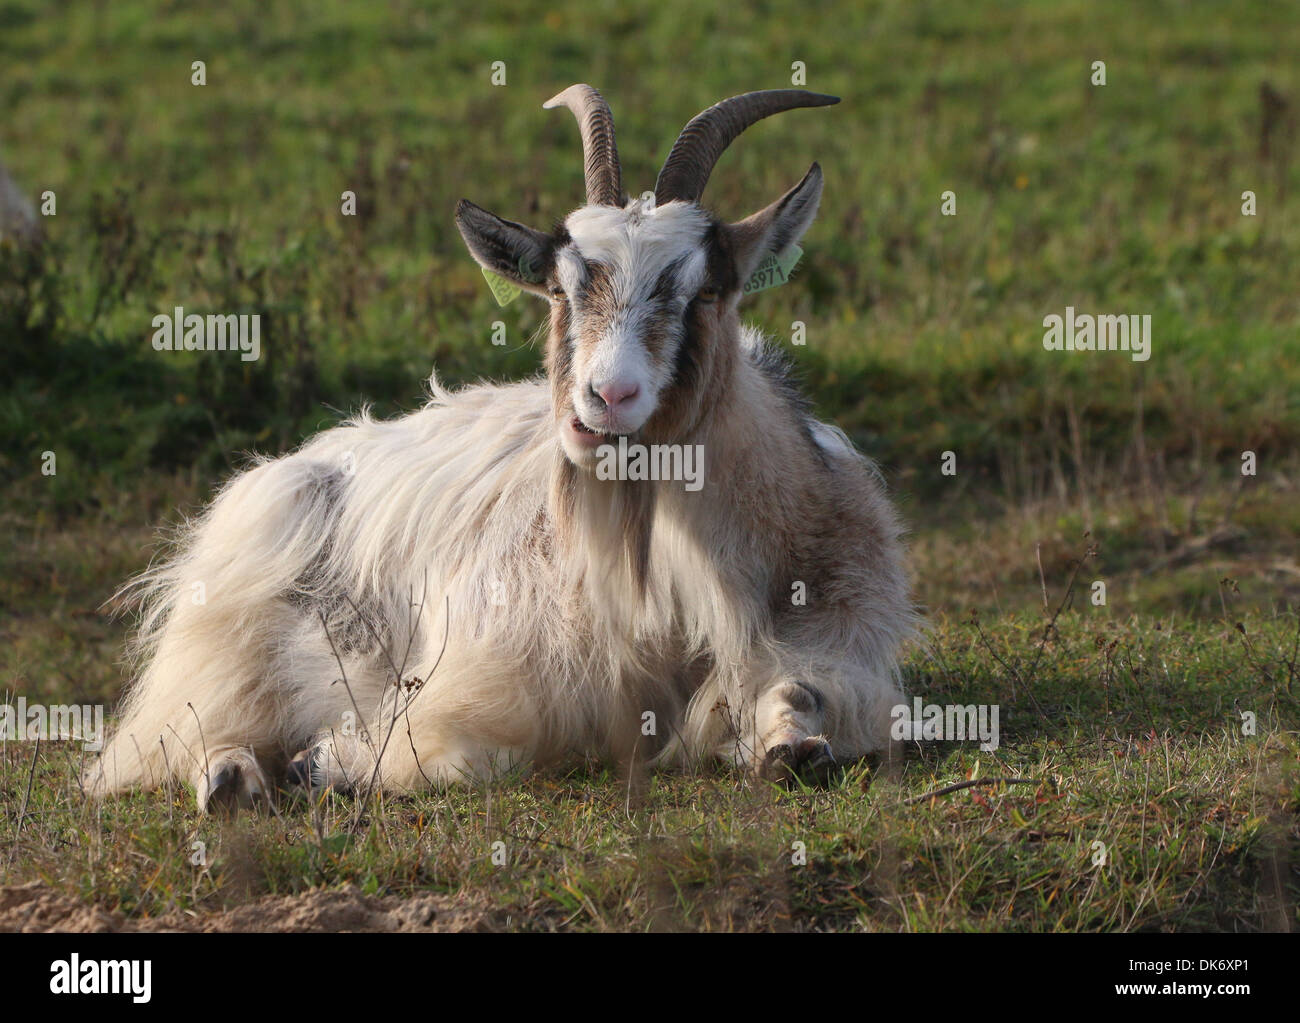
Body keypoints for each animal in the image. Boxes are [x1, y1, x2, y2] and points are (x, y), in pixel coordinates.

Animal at [89, 83, 915, 811]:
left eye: (706, 289)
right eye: (560, 289)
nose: (605, 401)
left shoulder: (834, 639)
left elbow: (799, 690)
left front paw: (793, 746)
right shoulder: (493, 678)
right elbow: (461, 754)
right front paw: (330, 760)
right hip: (235, 619)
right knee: (187, 725)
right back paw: (233, 776)